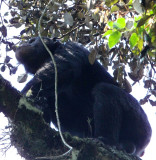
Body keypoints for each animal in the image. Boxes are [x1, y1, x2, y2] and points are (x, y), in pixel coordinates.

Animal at [15, 36, 151, 156]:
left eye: (33, 40)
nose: (27, 42)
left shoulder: (71, 48)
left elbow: (57, 71)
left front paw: (24, 95)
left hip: (141, 125)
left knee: (105, 90)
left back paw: (106, 140)